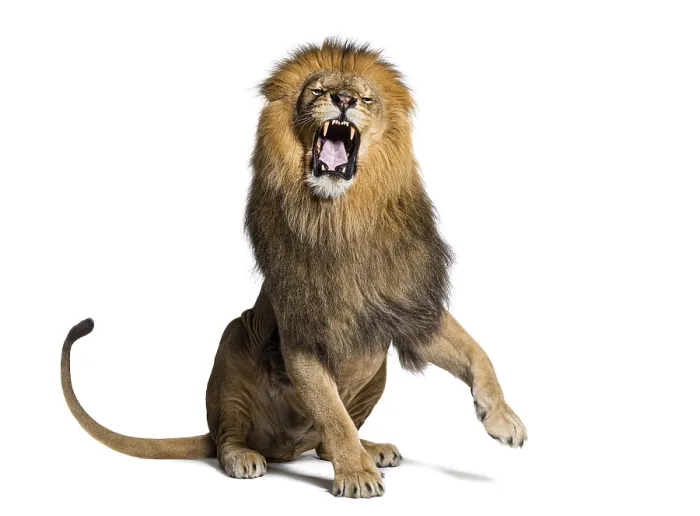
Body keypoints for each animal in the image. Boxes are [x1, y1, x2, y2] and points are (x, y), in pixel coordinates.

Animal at [61, 39, 527, 498]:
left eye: (366, 98)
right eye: (318, 91)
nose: (344, 100)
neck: (344, 217)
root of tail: (284, 450)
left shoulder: (406, 302)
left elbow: (476, 352)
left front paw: (503, 419)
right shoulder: (300, 326)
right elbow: (332, 412)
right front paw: (355, 475)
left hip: (377, 370)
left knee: (323, 444)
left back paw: (371, 448)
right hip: (234, 337)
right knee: (232, 434)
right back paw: (245, 457)